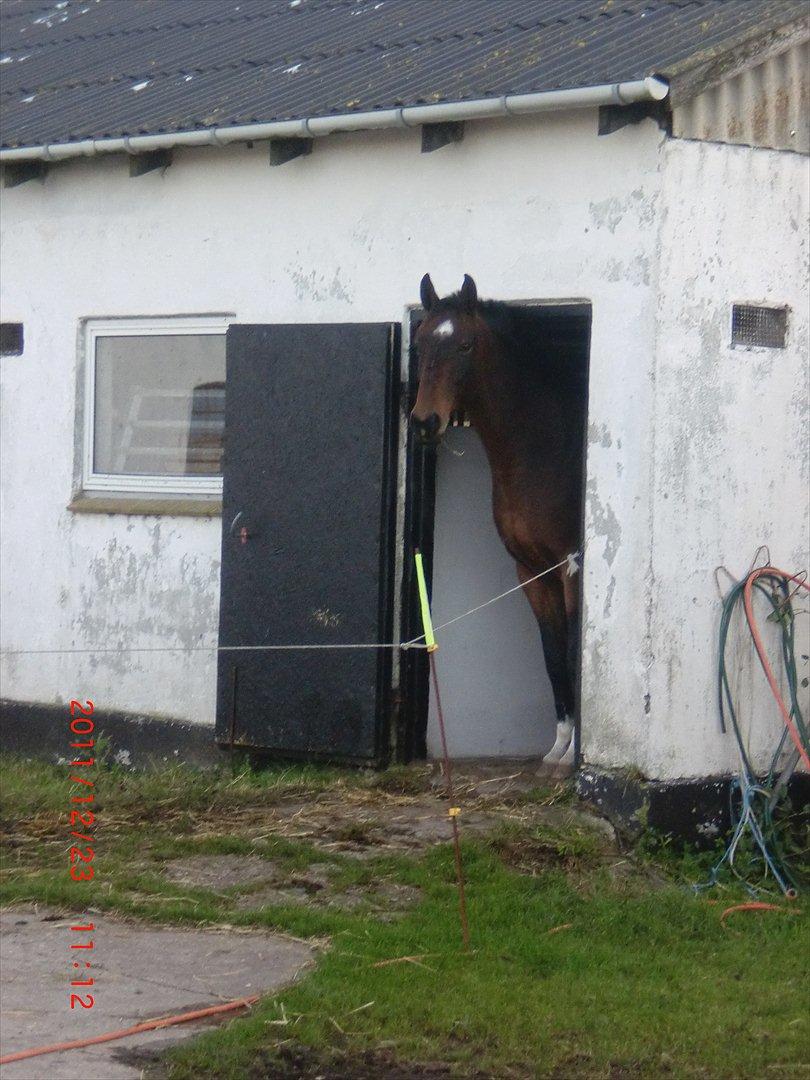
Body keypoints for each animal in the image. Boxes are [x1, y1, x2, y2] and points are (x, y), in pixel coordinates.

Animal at [412, 274, 583, 773]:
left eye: (465, 344)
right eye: (419, 342)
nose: (425, 422)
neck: (547, 447)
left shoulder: (572, 568)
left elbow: (574, 652)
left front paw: (574, 755)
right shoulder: (532, 571)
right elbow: (552, 655)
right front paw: (558, 747)